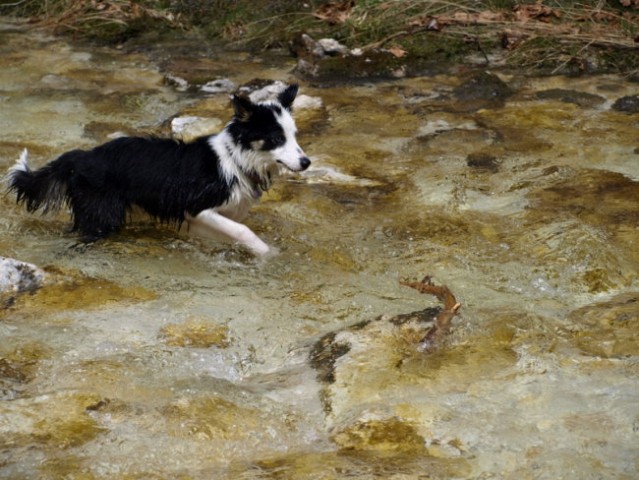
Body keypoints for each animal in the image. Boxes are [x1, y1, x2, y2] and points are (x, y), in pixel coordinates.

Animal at [6, 83, 310, 255]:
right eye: (276, 138)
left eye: (294, 135)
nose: (307, 162)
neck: (237, 159)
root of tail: (81, 156)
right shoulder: (198, 207)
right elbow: (243, 231)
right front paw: (268, 254)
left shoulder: (206, 220)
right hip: (103, 214)